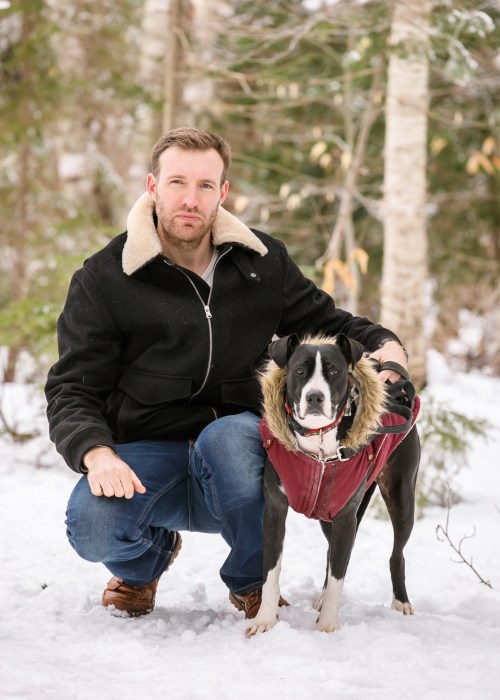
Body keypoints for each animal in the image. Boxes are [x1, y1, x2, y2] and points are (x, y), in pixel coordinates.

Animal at [246, 333, 420, 636]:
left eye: (334, 371)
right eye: (299, 371)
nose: (315, 396)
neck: (318, 442)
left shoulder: (345, 517)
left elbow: (339, 574)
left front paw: (327, 626)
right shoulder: (275, 511)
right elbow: (271, 571)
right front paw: (265, 620)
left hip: (401, 496)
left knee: (396, 554)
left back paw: (401, 602)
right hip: (327, 515)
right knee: (330, 554)